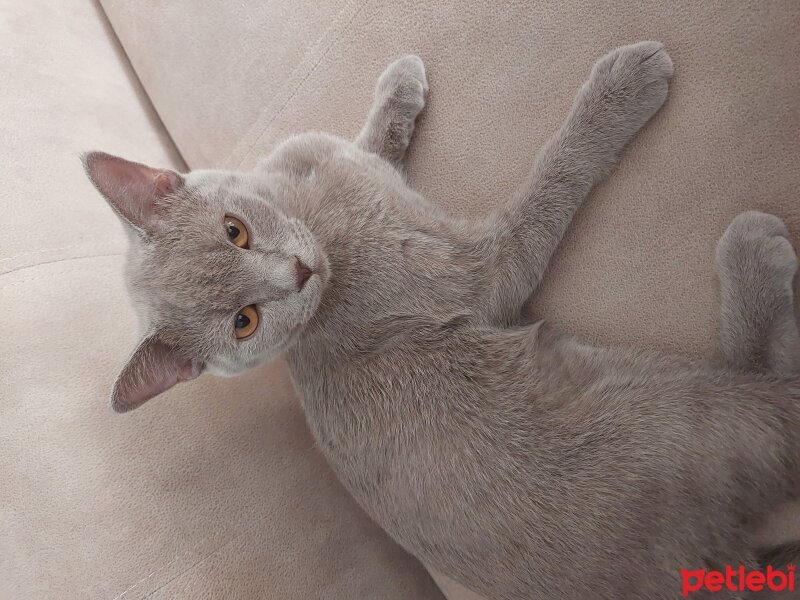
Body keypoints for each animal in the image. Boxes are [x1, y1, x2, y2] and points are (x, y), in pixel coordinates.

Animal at [79, 43, 800, 600]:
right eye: (245, 322)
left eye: (235, 231)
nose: (297, 275)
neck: (317, 217)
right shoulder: (481, 272)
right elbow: (549, 183)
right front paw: (621, 86)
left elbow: (372, 143)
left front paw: (399, 85)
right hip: (682, 417)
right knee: (777, 399)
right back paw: (754, 246)